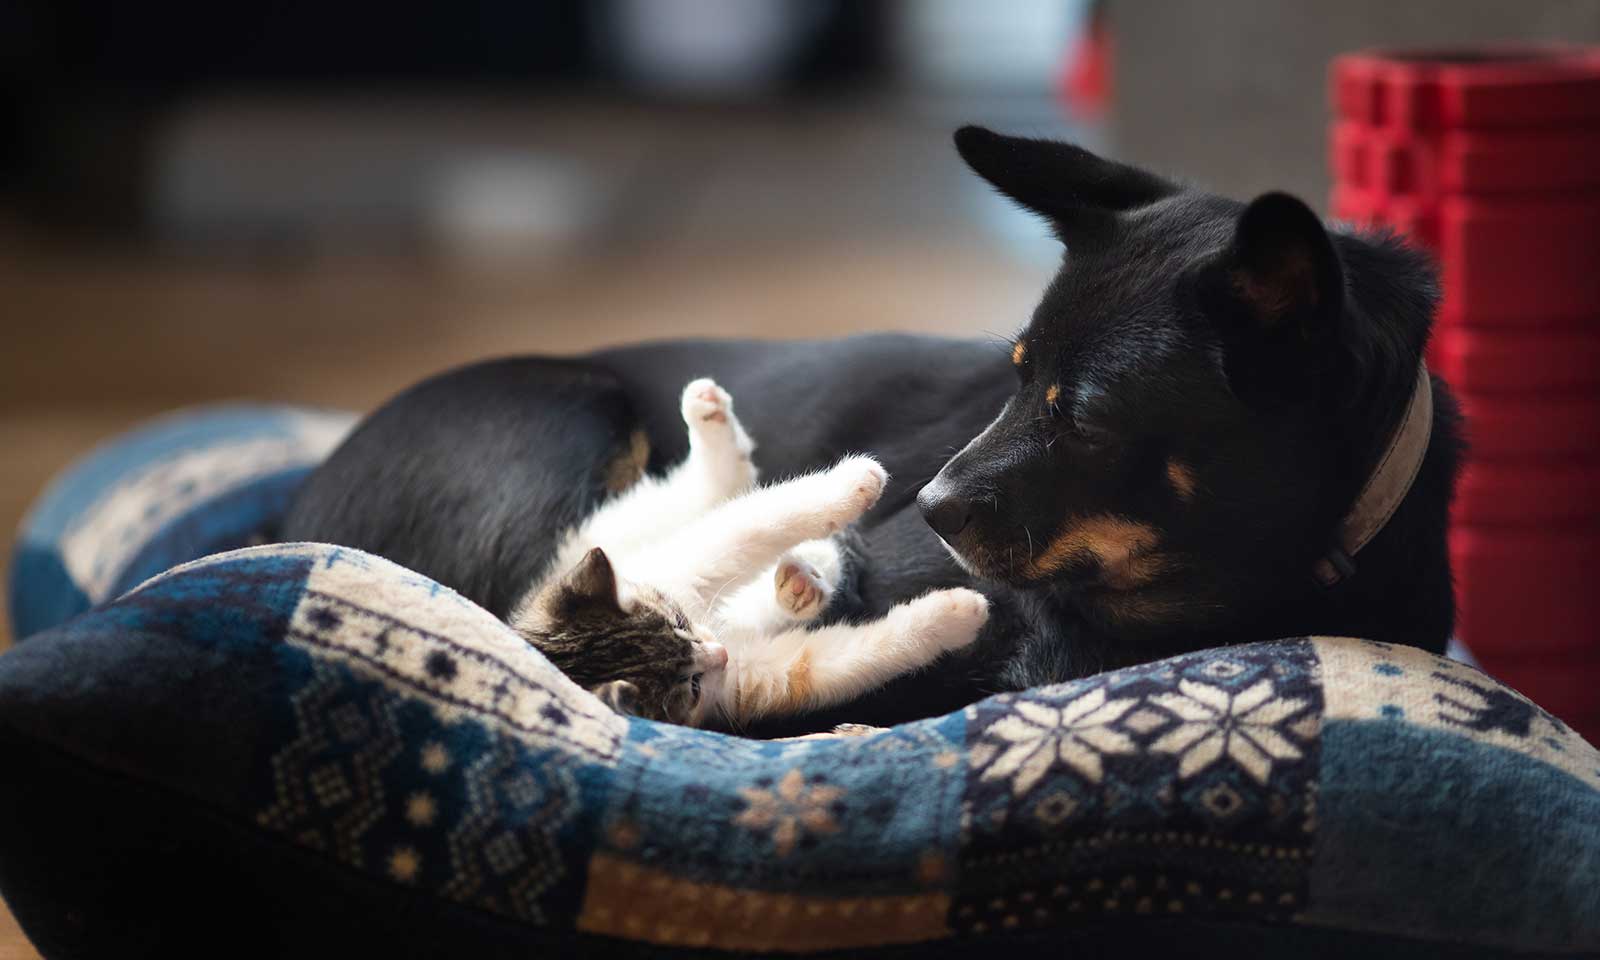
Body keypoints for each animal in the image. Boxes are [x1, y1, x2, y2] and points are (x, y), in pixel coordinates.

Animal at [512, 379, 985, 723]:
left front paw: (854, 482)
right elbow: (828, 663)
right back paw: (801, 586)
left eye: (679, 622)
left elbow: (754, 523)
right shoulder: (746, 682)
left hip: (640, 526)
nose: (717, 653)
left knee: (716, 491)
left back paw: (709, 416)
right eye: (692, 687)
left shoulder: (687, 566)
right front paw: (955, 616)